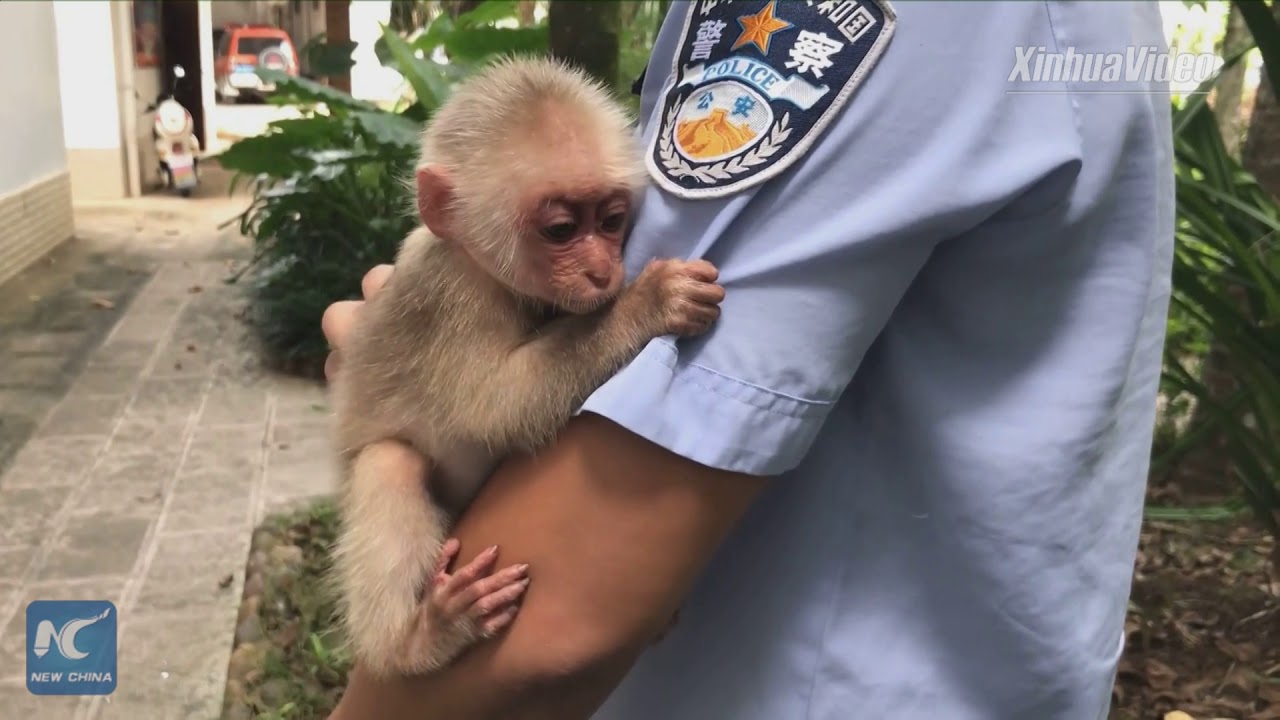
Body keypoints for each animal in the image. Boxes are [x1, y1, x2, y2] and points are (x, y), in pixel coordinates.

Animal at [327, 56, 726, 679]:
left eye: (611, 220)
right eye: (561, 230)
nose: (600, 271)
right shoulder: (455, 296)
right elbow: (489, 409)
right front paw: (645, 305)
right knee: (390, 461)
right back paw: (413, 641)